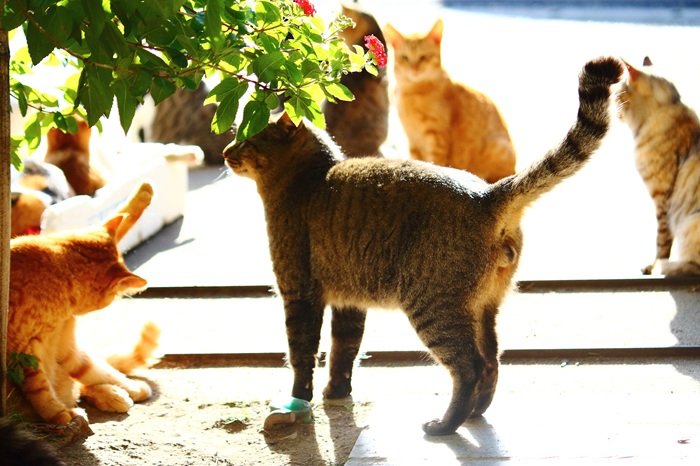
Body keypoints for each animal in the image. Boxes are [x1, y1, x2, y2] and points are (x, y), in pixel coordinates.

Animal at [6, 182, 160, 426]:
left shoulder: (68, 347)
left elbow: (98, 370)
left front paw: (131, 387)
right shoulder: (24, 353)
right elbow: (40, 390)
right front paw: (58, 414)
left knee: (80, 385)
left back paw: (114, 395)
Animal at [226, 57, 624, 434]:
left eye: (246, 140)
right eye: (235, 135)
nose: (226, 149)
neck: (310, 177)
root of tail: (488, 195)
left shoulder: (298, 291)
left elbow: (302, 354)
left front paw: (299, 399)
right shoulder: (349, 301)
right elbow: (344, 350)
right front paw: (336, 393)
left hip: (433, 307)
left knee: (470, 366)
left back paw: (445, 426)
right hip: (482, 309)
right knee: (492, 361)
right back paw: (475, 413)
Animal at [380, 19, 516, 184]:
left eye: (424, 57)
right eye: (405, 57)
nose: (414, 68)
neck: (411, 91)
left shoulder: (436, 139)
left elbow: (435, 163)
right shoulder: (413, 142)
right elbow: (417, 161)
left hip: (497, 147)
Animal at [616, 59, 700, 276]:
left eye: (616, 94)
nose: (615, 111)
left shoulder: (662, 198)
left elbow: (662, 242)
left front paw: (653, 266)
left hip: (690, 223)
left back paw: (669, 267)